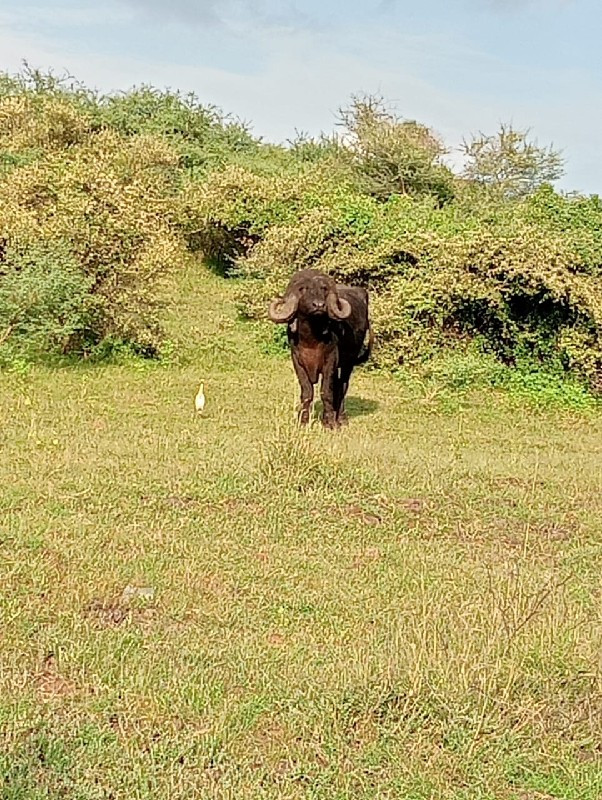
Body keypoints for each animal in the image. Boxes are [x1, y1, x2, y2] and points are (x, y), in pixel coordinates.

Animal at [268, 268, 370, 428]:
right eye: (303, 289)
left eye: (323, 289)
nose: (319, 305)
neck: (311, 340)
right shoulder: (297, 361)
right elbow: (307, 392)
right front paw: (303, 420)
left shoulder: (330, 361)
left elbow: (326, 391)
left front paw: (330, 423)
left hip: (349, 362)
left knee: (342, 386)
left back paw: (341, 418)